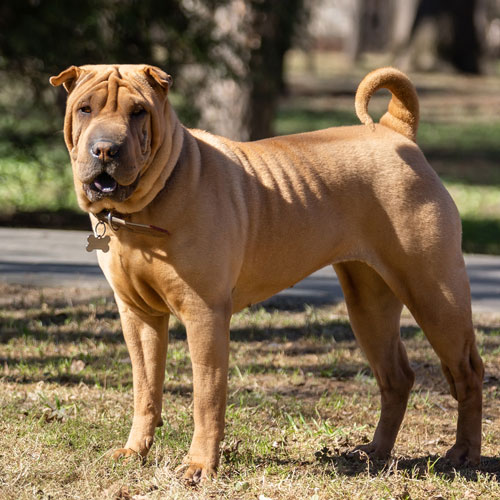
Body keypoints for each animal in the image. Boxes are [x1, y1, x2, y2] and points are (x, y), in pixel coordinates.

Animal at [49, 63, 480, 480]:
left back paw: (464, 454)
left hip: (434, 294)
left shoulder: (204, 315)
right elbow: (146, 390)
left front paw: (200, 466)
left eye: (138, 111)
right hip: (368, 304)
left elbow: (206, 397)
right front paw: (135, 452)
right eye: (85, 109)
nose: (106, 148)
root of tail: (394, 131)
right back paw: (376, 451)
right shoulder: (138, 315)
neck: (143, 210)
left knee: (468, 371)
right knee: (397, 377)